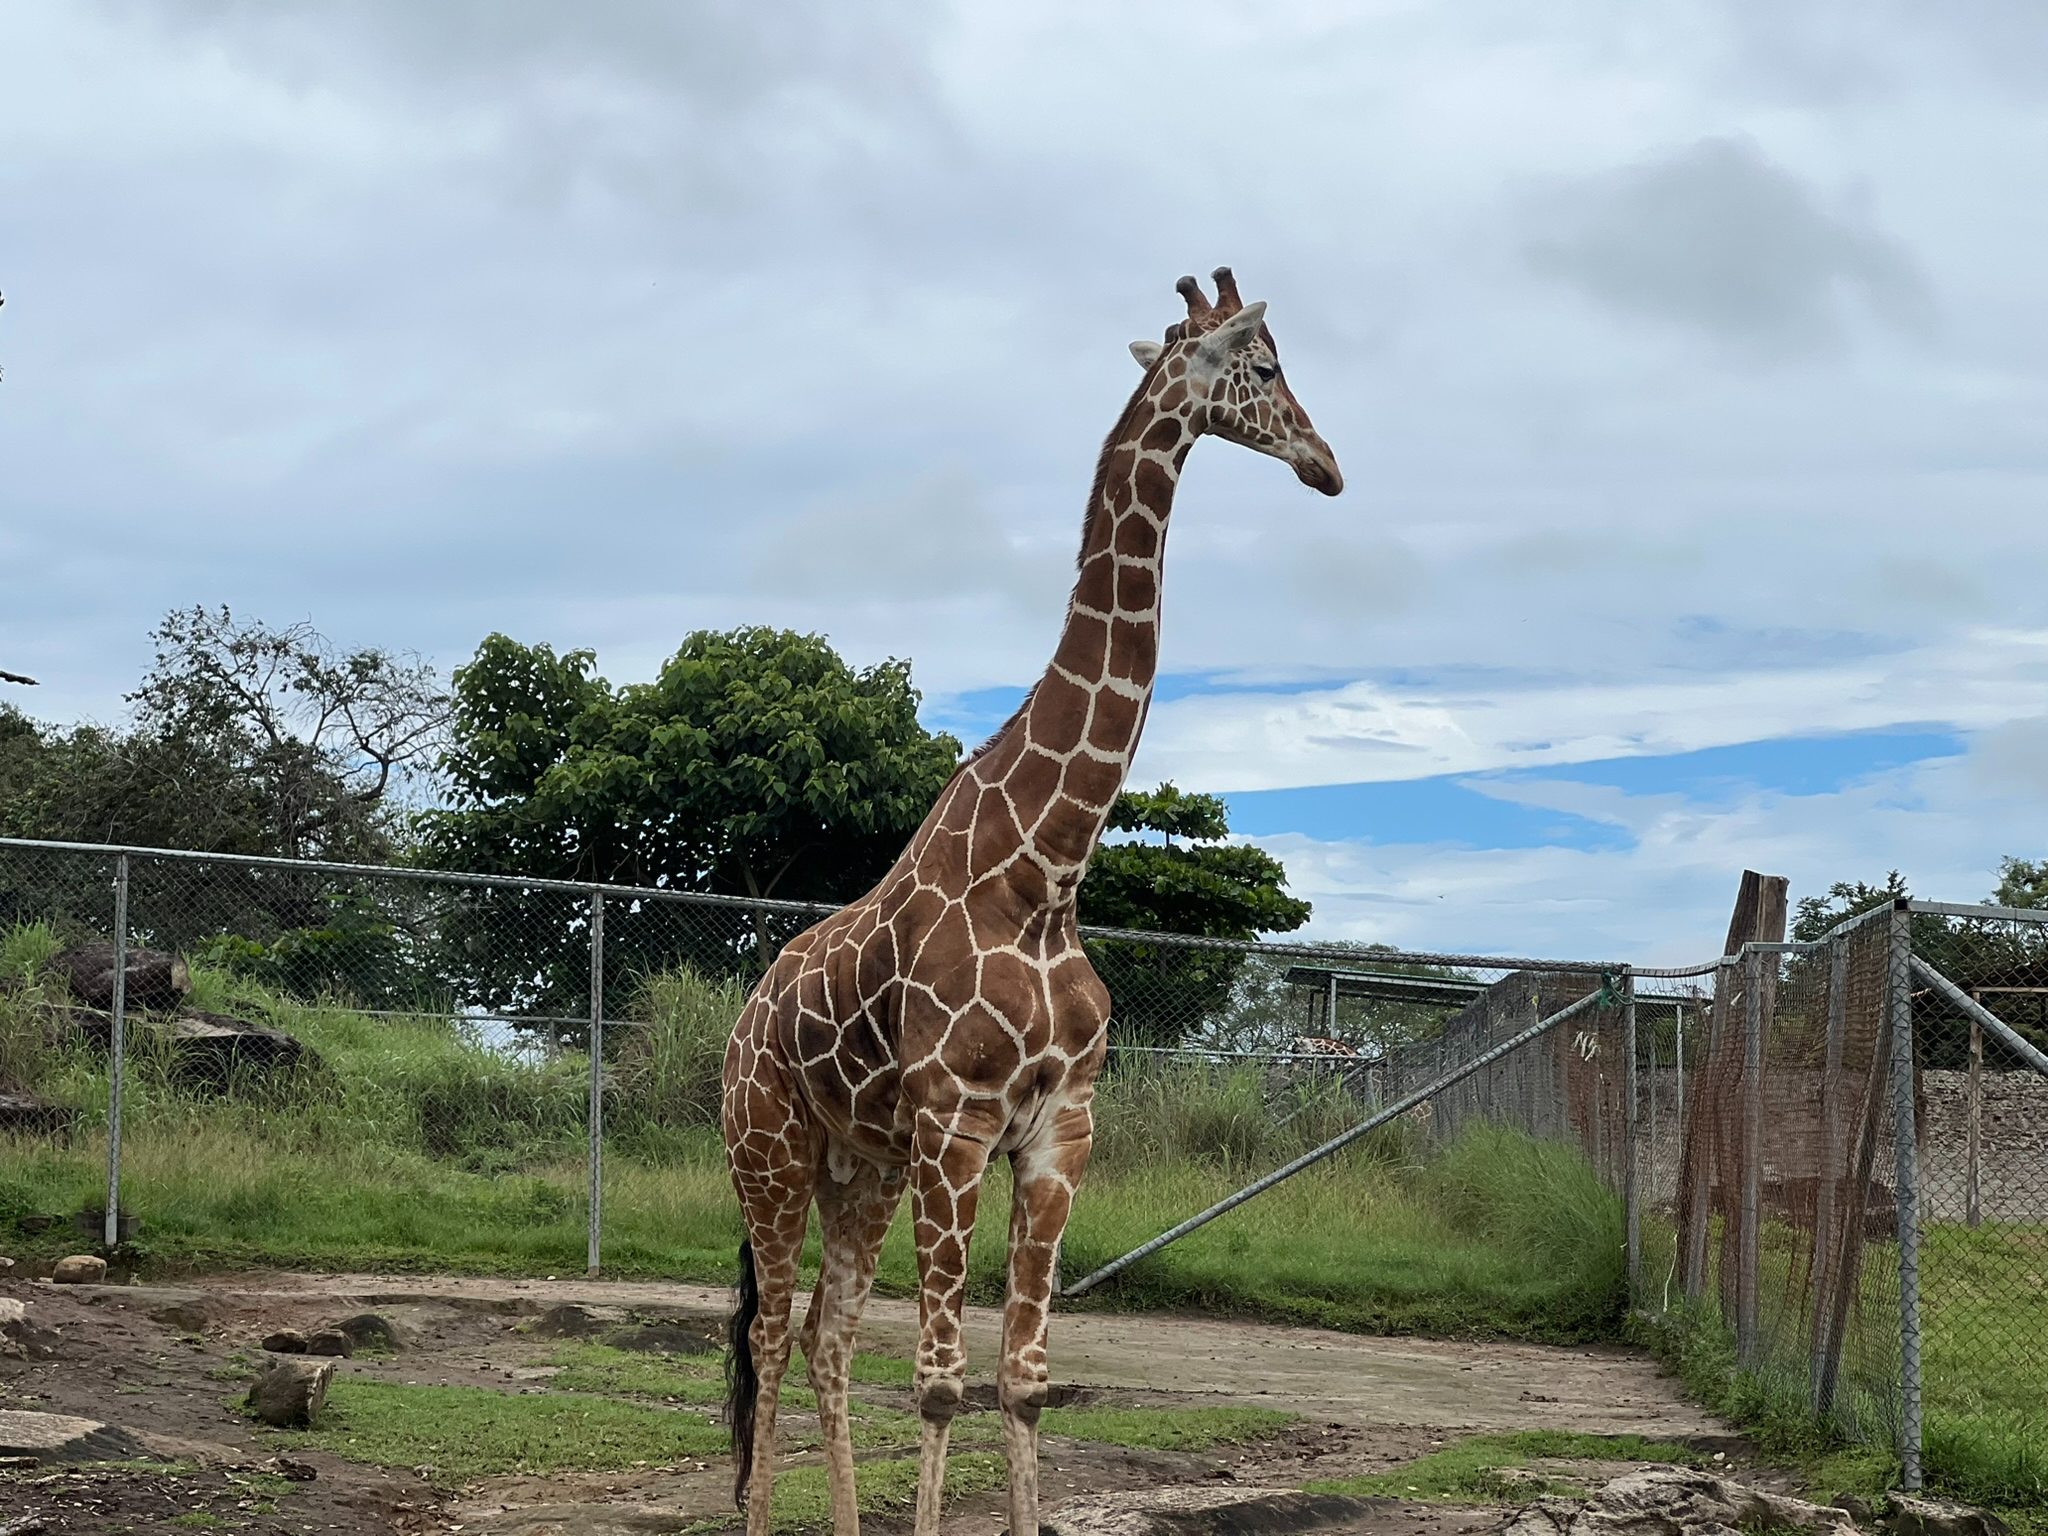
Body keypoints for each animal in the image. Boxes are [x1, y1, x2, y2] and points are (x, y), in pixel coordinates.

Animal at [721, 267, 1342, 1536]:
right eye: (1261, 367)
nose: (1325, 464)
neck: (1044, 870)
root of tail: (742, 1023)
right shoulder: (958, 1125)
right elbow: (940, 1385)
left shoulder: (1060, 1132)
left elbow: (1022, 1382)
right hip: (769, 1151)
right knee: (766, 1336)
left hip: (859, 1167)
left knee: (821, 1338)